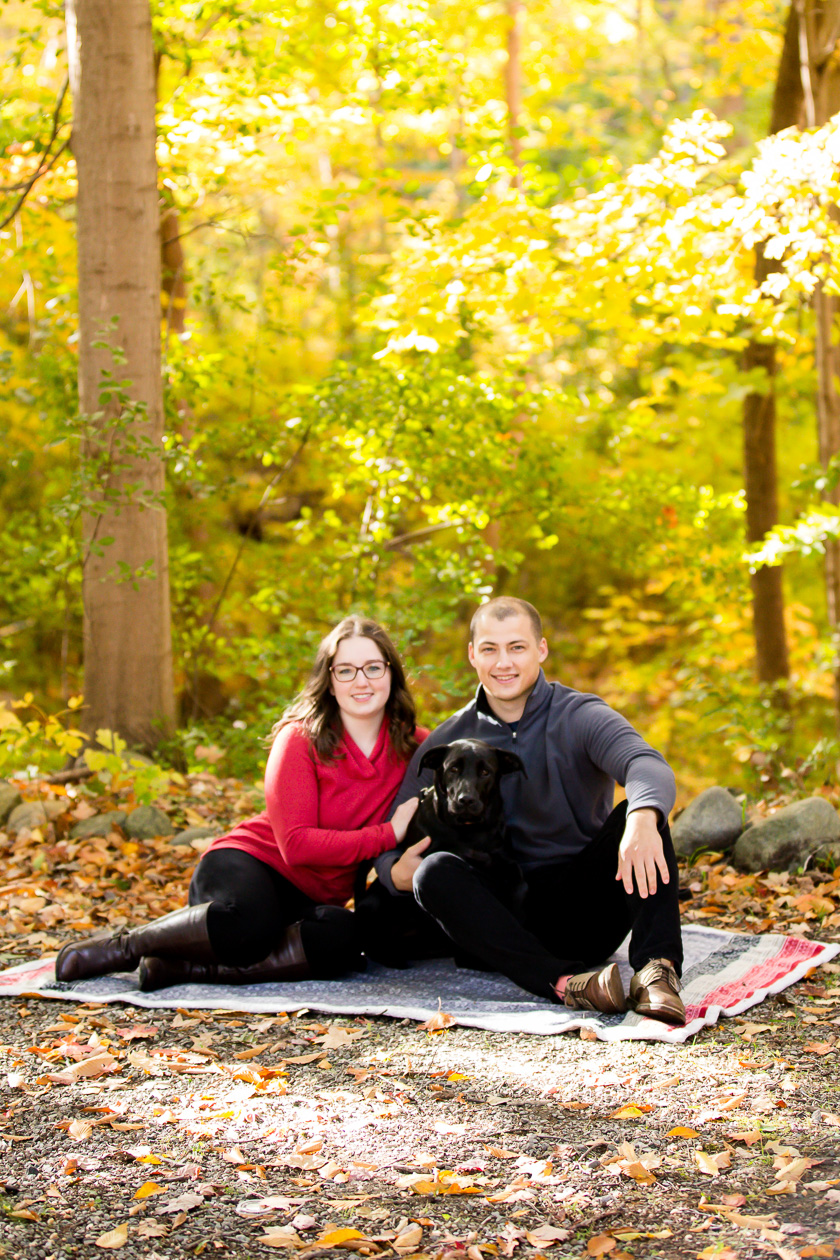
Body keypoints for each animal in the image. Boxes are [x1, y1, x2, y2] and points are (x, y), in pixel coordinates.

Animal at [355, 735, 526, 962]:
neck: (470, 830)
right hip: (370, 903)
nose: (466, 800)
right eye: (453, 769)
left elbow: (518, 893)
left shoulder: (510, 867)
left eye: (485, 772)